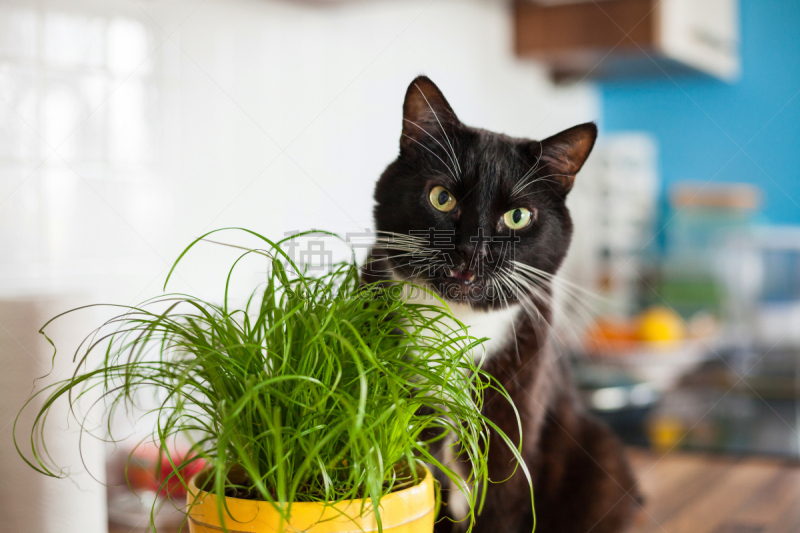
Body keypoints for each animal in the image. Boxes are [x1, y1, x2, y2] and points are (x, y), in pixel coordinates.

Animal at [366, 76, 640, 532]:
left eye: (518, 217)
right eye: (441, 198)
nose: (470, 250)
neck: (456, 323)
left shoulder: (516, 421)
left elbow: (499, 505)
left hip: (601, 458)